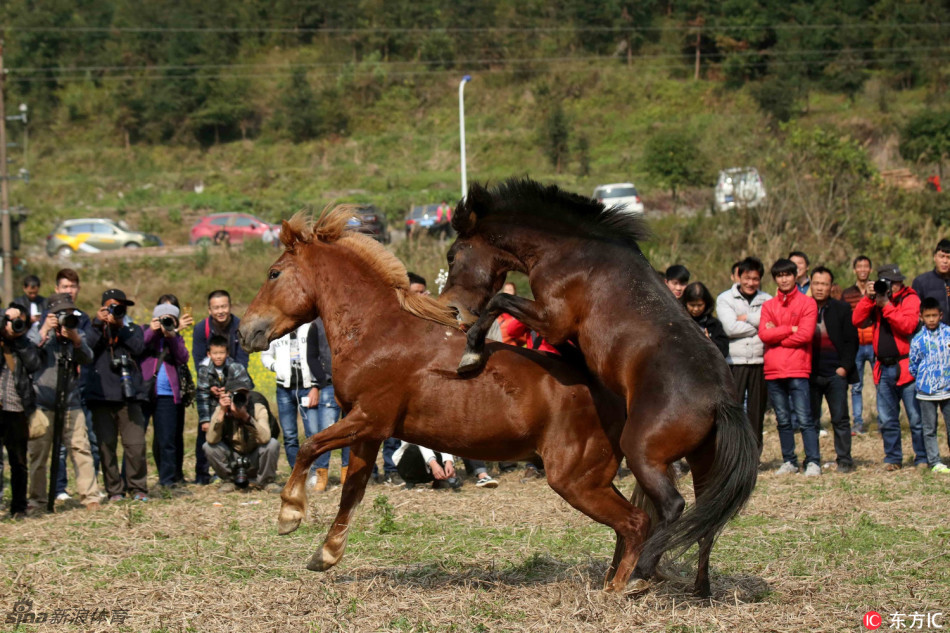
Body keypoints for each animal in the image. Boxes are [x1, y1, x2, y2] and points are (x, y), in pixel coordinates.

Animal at [237, 205, 653, 593]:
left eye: (274, 273)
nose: (245, 331)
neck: (377, 332)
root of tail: (616, 392)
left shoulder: (368, 418)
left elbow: (310, 447)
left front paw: (289, 515)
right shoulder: (368, 431)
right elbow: (351, 492)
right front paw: (326, 554)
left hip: (575, 480)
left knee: (636, 522)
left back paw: (619, 589)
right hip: (593, 478)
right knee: (632, 523)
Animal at [439, 179, 759, 597]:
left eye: (452, 255)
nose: (453, 310)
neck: (567, 251)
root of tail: (722, 401)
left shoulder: (552, 319)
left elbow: (500, 298)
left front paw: (472, 352)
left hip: (642, 452)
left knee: (672, 507)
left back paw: (641, 571)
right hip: (704, 462)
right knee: (707, 519)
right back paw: (699, 589)